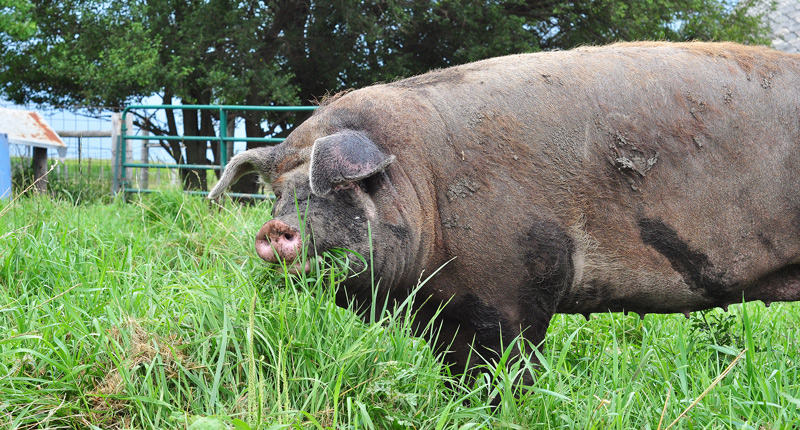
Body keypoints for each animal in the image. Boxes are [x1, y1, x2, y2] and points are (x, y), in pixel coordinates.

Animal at [209, 42, 800, 380]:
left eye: (338, 188)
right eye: (278, 193)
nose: (276, 227)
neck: (427, 187)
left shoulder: (521, 286)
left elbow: (510, 366)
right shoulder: (442, 314)